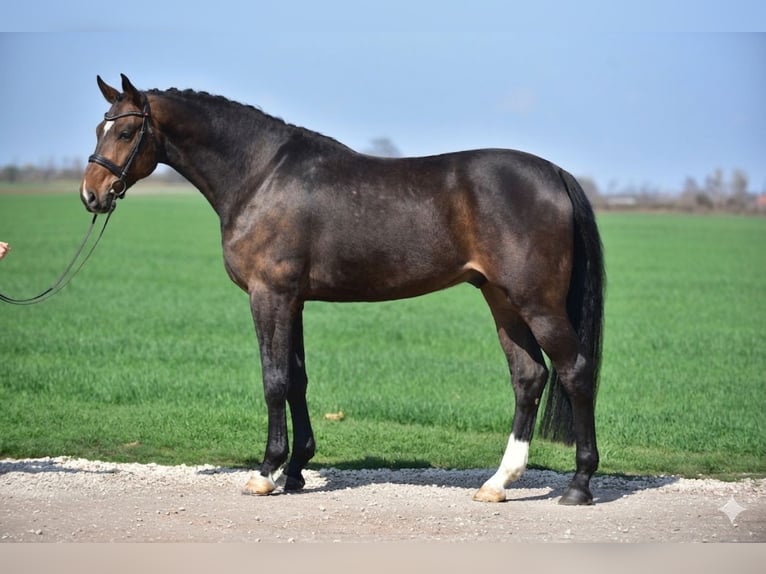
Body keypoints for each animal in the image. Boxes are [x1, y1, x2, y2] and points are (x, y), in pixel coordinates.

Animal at [81, 74, 605, 505]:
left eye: (125, 133)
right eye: (98, 129)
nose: (91, 194)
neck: (261, 175)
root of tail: (554, 174)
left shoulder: (269, 295)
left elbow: (274, 380)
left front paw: (266, 472)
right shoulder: (293, 301)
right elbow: (297, 379)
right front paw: (296, 470)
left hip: (537, 303)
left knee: (575, 372)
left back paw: (579, 485)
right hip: (501, 299)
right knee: (529, 377)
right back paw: (498, 483)